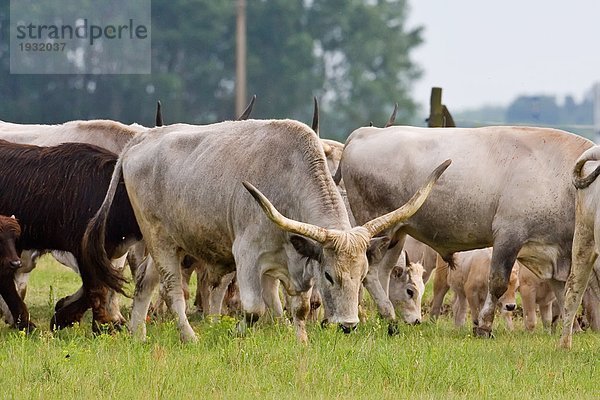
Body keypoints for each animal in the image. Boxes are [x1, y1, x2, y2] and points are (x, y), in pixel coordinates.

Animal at [0, 141, 142, 332]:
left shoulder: (105, 251)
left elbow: (101, 286)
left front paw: (64, 316)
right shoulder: (86, 251)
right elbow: (96, 288)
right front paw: (100, 325)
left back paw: (24, 322)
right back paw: (26, 323)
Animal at [85, 120, 450, 342]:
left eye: (362, 277)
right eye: (329, 276)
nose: (348, 326)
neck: (288, 179)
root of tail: (142, 139)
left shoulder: (296, 257)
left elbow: (298, 308)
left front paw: (301, 340)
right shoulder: (246, 255)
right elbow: (254, 309)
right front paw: (237, 336)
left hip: (169, 242)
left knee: (145, 283)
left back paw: (138, 335)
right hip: (160, 239)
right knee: (173, 290)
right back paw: (189, 336)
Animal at [340, 125, 592, 338]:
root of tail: (366, 132)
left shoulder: (555, 254)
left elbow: (566, 291)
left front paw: (571, 332)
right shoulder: (509, 237)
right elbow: (498, 282)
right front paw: (484, 327)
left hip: (396, 234)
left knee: (383, 272)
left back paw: (388, 319)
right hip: (379, 227)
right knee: (369, 272)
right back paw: (382, 316)